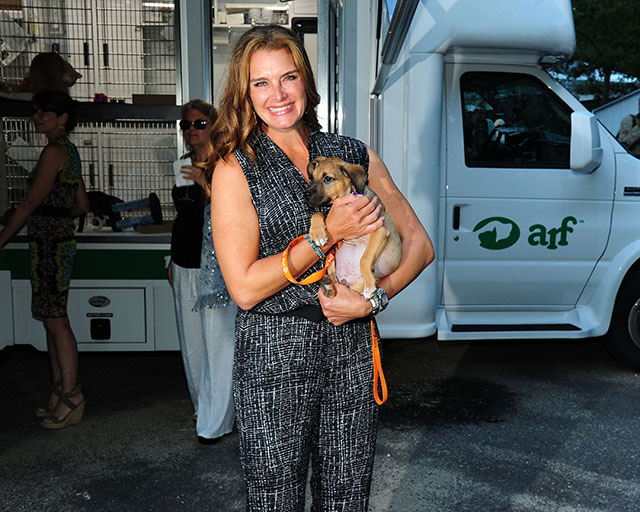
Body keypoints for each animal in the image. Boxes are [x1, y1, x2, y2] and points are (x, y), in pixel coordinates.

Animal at [304, 156, 400, 300]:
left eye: (328, 179)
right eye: (312, 178)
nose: (306, 195)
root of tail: (345, 281)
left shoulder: (380, 231)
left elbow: (364, 259)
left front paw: (369, 286)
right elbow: (318, 213)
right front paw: (317, 233)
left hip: (357, 285)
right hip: (331, 261)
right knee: (333, 280)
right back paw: (328, 285)